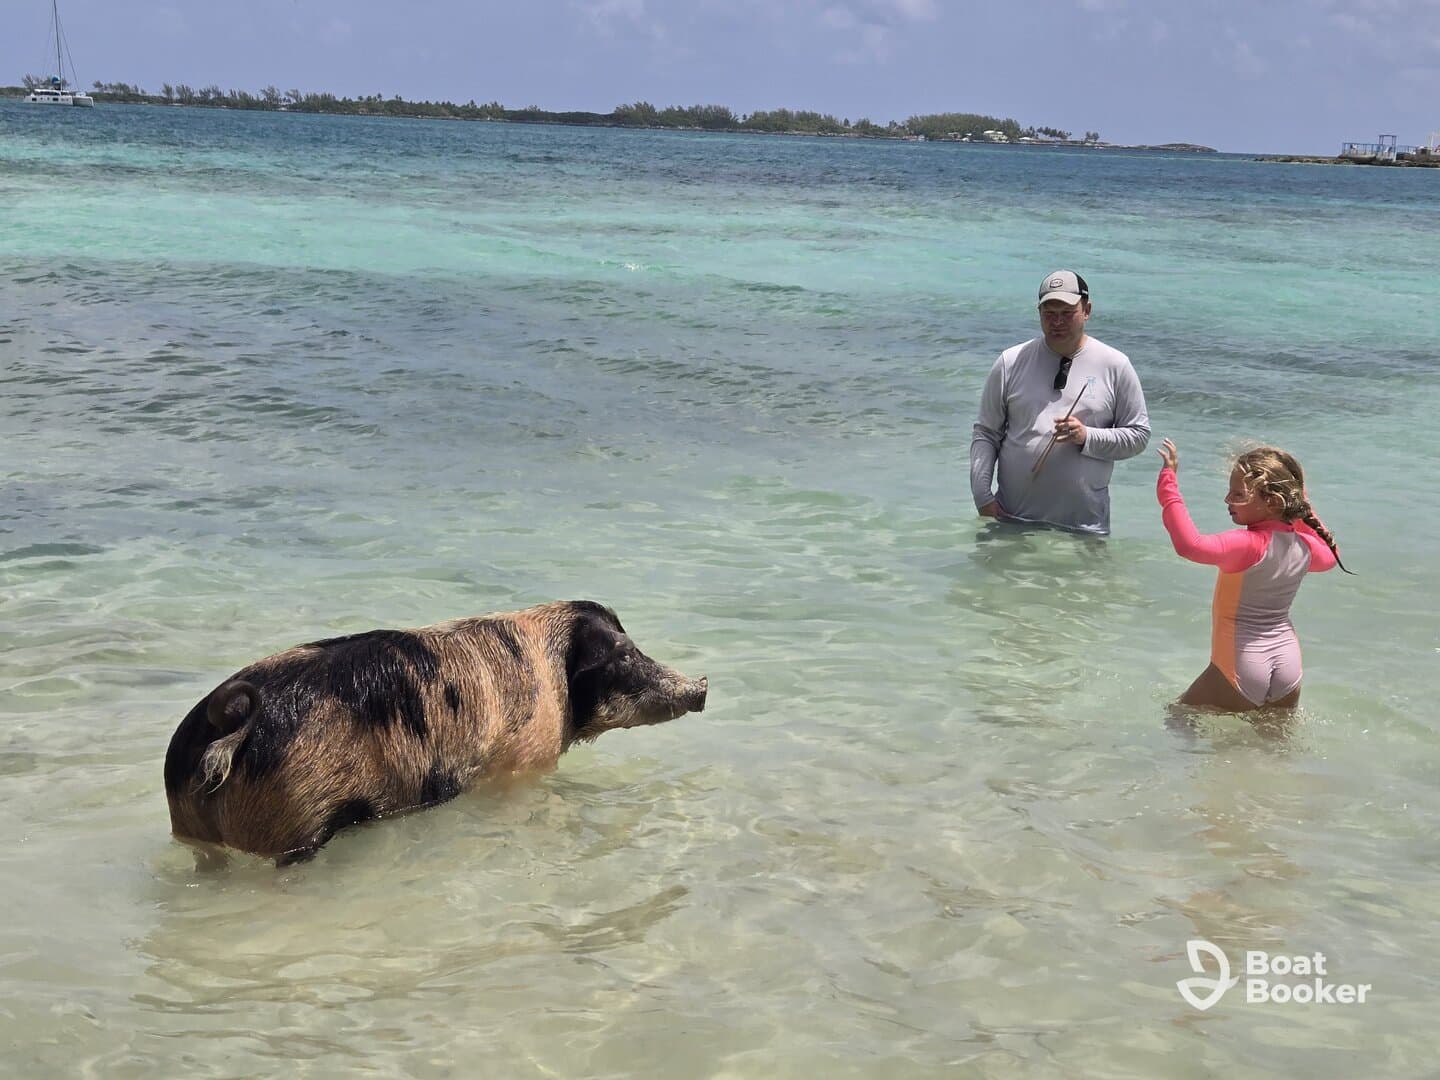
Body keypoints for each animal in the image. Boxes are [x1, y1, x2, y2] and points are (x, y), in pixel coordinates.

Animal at [163, 601, 707, 864]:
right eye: (624, 654)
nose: (702, 687)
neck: (552, 680)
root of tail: (229, 722)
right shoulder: (523, 764)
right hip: (293, 824)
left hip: (189, 826)